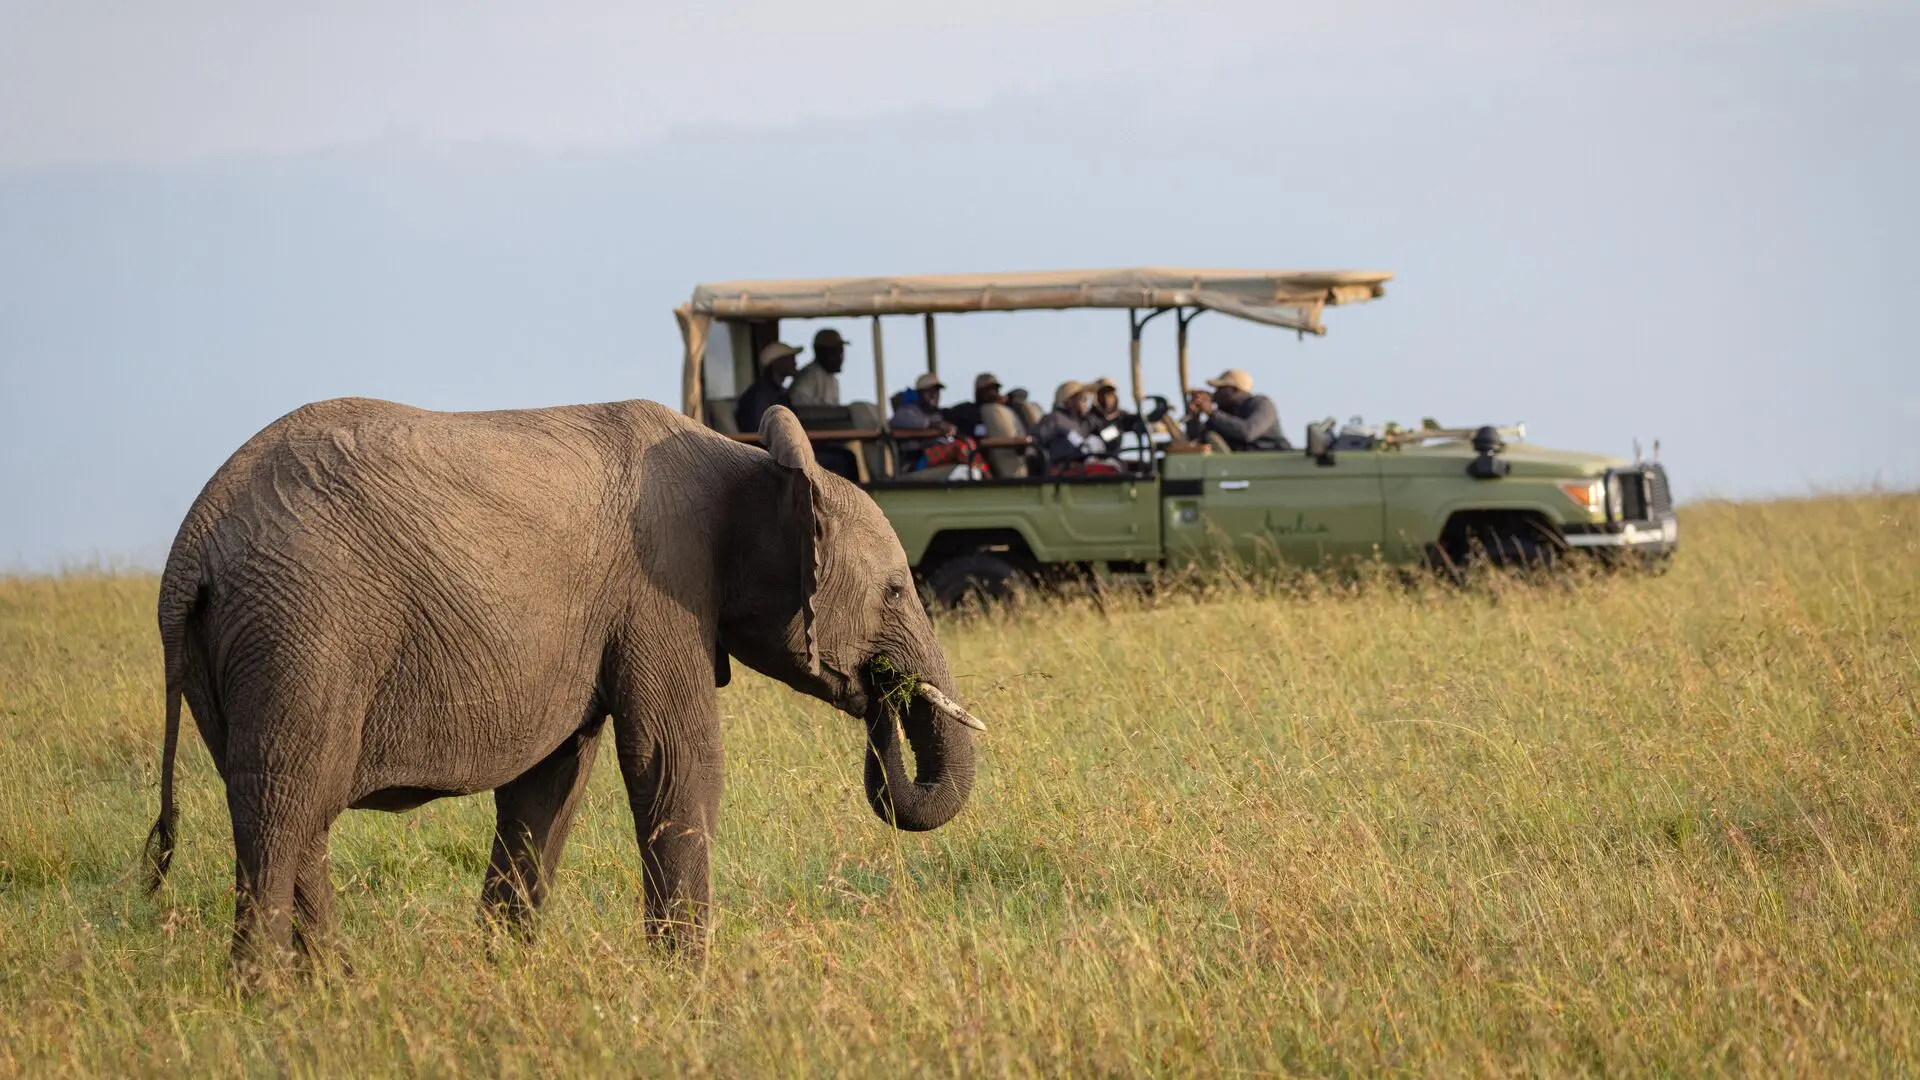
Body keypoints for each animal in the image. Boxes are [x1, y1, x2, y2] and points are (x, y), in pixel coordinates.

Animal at [142, 399, 984, 974]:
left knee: (299, 815)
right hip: (299, 633)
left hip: (247, 649)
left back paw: (336, 988)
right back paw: (266, 998)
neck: (752, 463)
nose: (885, 693)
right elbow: (676, 761)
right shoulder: (660, 588)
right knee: (283, 810)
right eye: (897, 591)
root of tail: (192, 547)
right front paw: (686, 983)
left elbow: (550, 783)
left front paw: (503, 971)